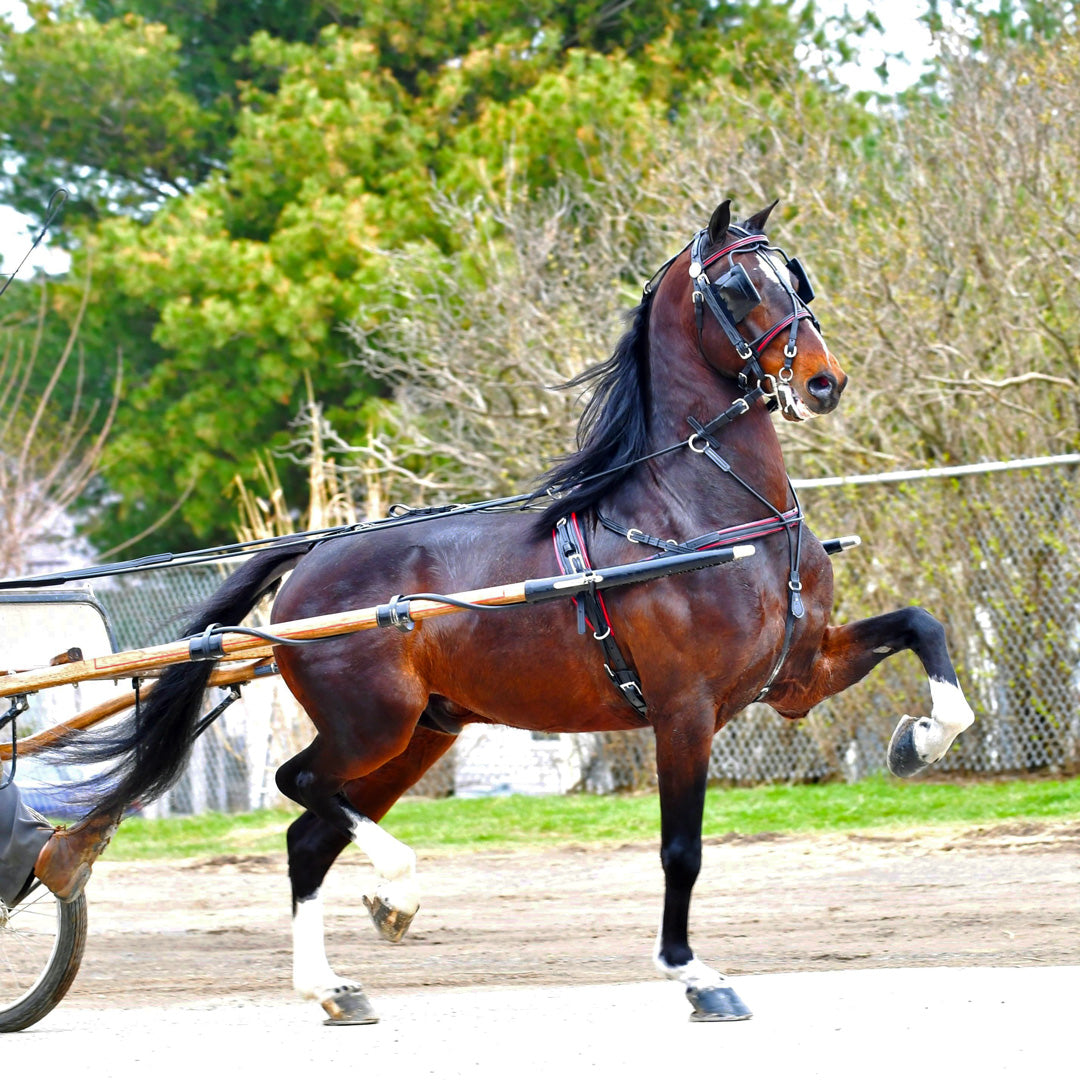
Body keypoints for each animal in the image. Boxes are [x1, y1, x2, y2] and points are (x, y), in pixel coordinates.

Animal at [54, 200, 976, 1019]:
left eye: (794, 277)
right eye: (739, 285)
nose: (824, 381)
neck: (705, 515)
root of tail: (315, 555)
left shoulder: (797, 676)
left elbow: (923, 628)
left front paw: (920, 737)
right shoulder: (685, 711)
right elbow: (681, 850)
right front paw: (693, 974)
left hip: (423, 731)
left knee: (309, 837)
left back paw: (334, 987)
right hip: (372, 723)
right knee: (301, 785)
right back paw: (395, 889)